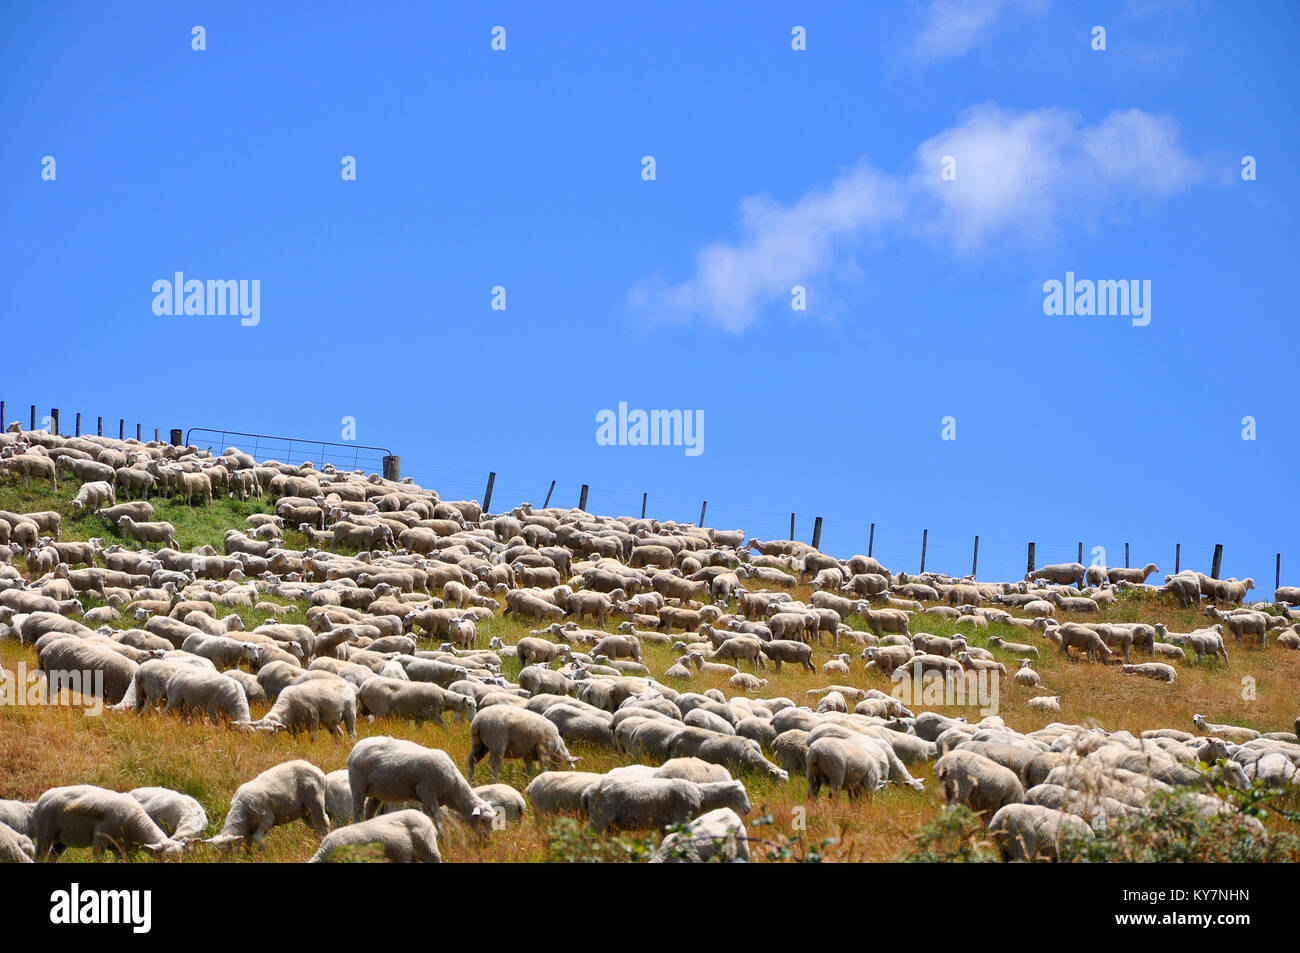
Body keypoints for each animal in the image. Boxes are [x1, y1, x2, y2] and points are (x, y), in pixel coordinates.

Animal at [32, 785, 185, 858]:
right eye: (167, 858)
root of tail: (45, 796)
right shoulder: (100, 840)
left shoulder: (123, 850)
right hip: (45, 833)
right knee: (39, 856)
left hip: (60, 842)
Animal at [582, 774, 754, 826]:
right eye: (739, 795)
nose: (748, 810)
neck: (700, 795)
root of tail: (587, 792)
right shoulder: (681, 819)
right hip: (600, 817)